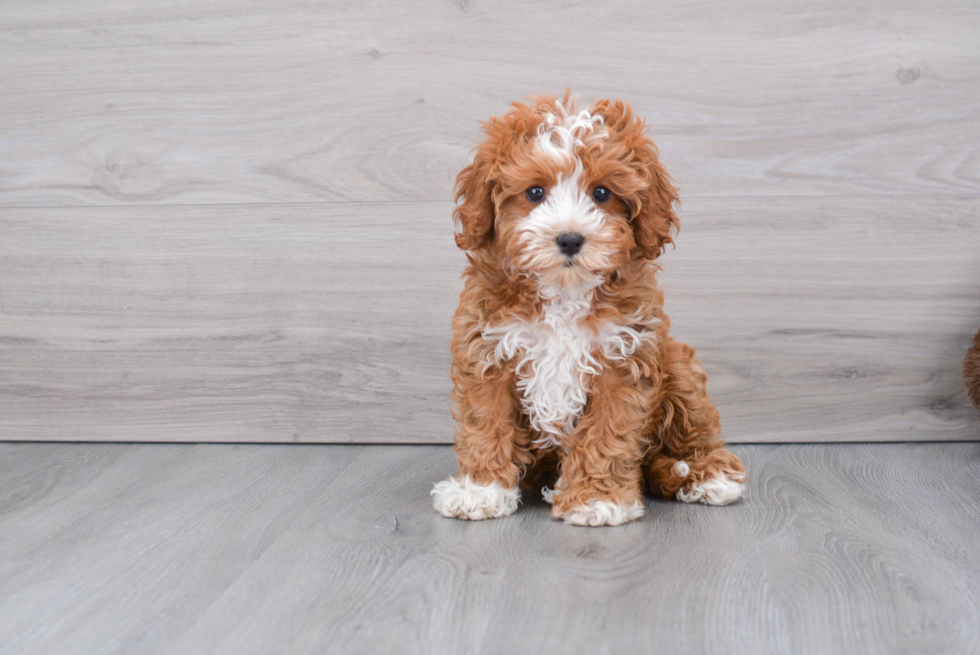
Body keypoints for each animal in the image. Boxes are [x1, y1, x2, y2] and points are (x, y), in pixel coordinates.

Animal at [428, 93, 744, 528]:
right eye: (535, 192)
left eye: (602, 193)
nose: (570, 239)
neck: (564, 292)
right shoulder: (488, 350)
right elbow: (486, 423)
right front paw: (480, 489)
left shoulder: (624, 355)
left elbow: (607, 433)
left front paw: (596, 499)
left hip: (677, 366)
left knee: (696, 431)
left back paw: (703, 474)